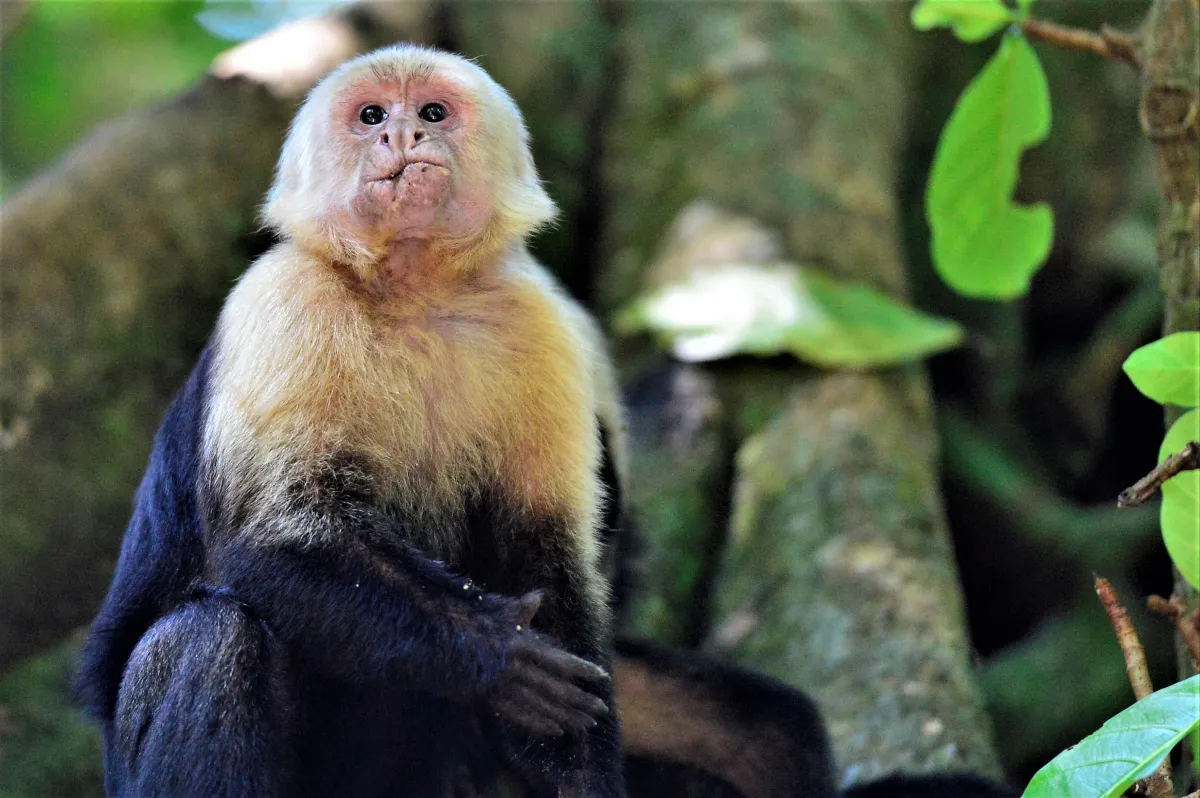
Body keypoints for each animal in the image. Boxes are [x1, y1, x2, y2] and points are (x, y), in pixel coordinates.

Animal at [77, 44, 626, 798]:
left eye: (432, 112)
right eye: (371, 117)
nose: (402, 134)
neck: (415, 289)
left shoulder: (539, 323)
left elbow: (548, 561)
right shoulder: (285, 297)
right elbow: (274, 537)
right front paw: (500, 653)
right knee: (210, 638)